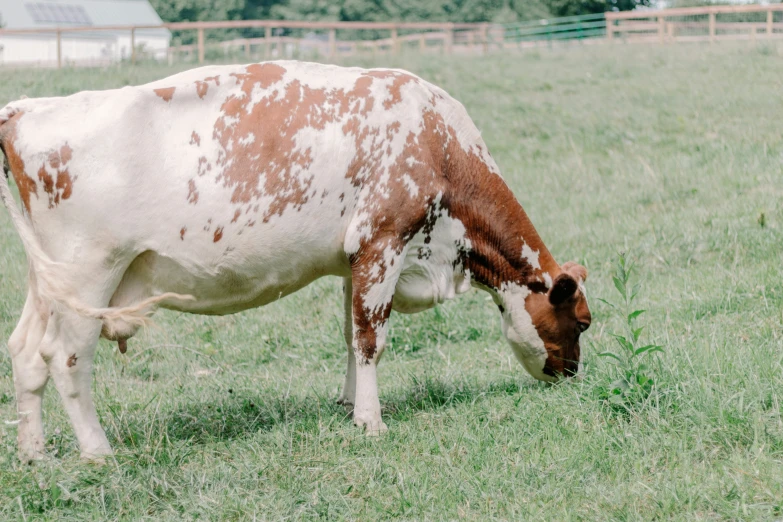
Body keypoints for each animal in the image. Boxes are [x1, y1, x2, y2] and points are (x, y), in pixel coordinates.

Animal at [0, 61, 588, 460]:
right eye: (581, 321)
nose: (573, 377)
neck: (439, 145)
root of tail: (25, 109)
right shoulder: (382, 241)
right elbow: (371, 339)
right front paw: (371, 422)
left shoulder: (354, 260)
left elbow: (350, 335)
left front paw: (348, 405)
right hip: (89, 274)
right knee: (65, 357)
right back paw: (98, 451)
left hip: (49, 280)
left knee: (26, 351)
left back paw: (34, 453)